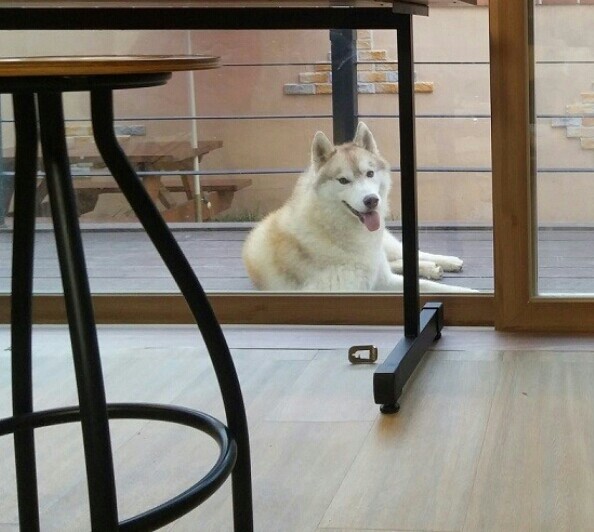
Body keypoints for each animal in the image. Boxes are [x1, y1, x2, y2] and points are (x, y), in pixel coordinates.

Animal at [242, 122, 473, 293]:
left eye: (370, 174)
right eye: (343, 180)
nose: (371, 200)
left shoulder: (381, 278)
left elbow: (433, 287)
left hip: (386, 246)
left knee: (407, 252)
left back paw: (445, 261)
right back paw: (431, 268)